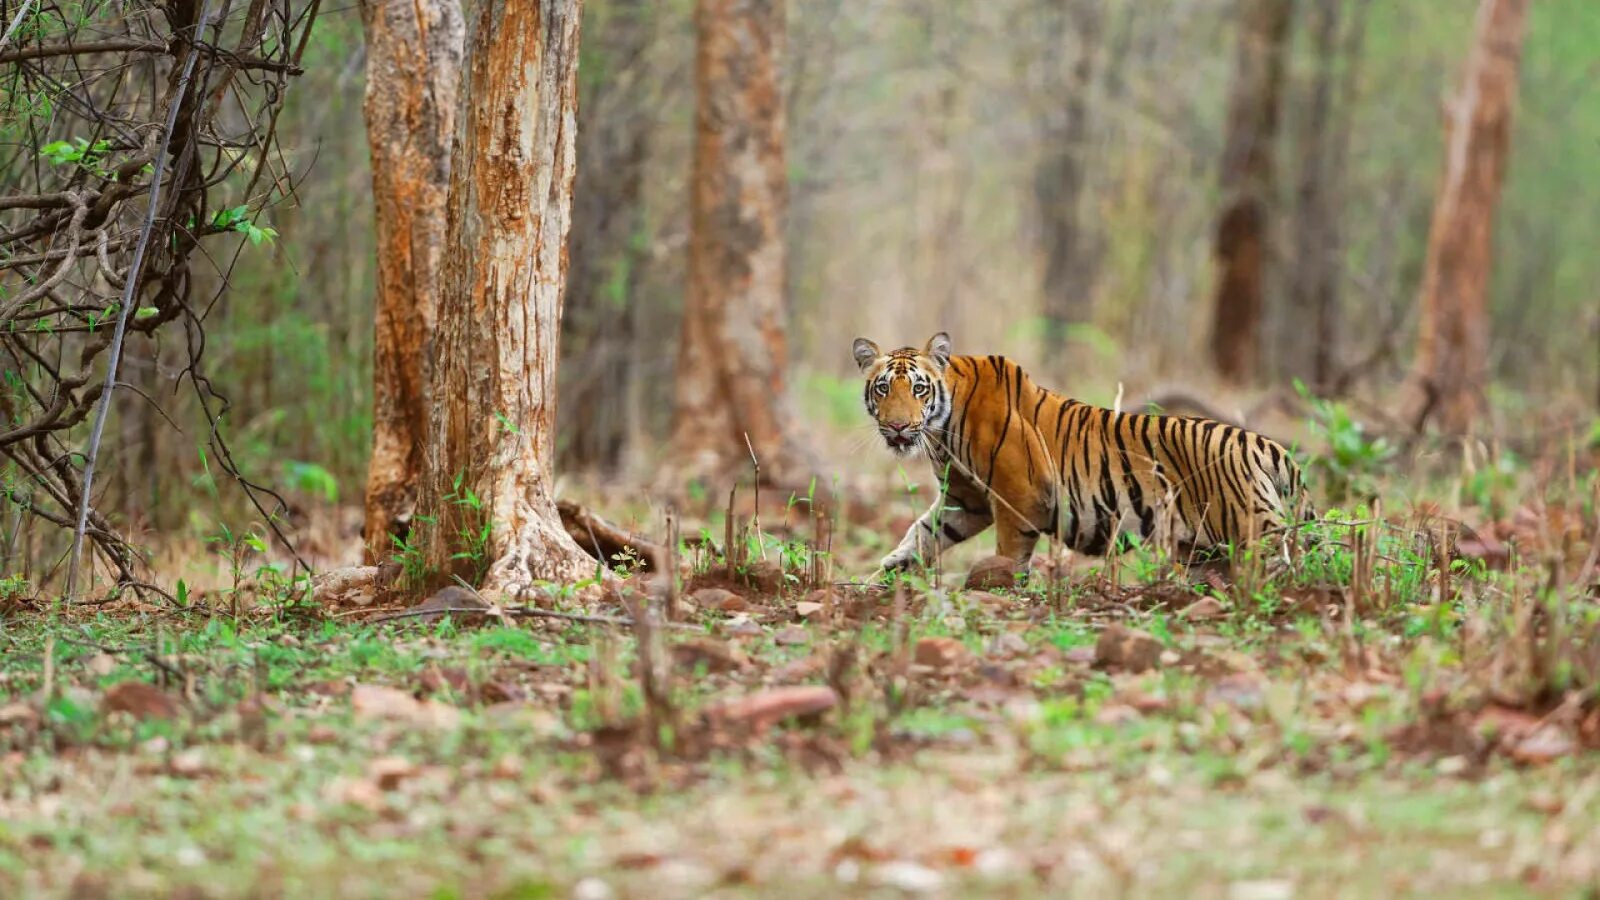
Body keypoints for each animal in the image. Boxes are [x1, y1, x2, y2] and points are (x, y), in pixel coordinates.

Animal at [857, 331, 1305, 573]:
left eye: (919, 388)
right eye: (883, 389)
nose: (898, 426)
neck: (941, 431)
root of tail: (1266, 445)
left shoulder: (1019, 497)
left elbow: (1008, 553)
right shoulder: (965, 501)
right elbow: (921, 534)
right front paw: (887, 576)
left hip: (1252, 528)